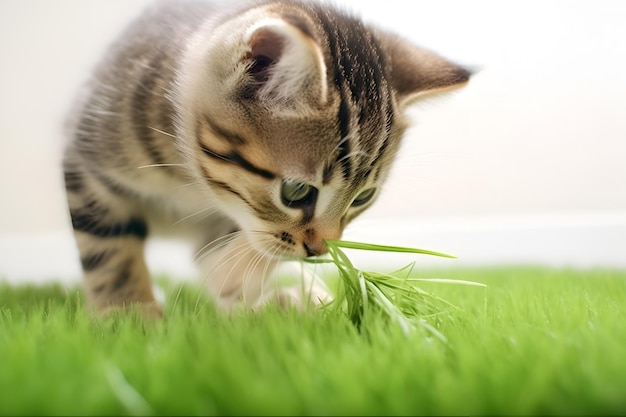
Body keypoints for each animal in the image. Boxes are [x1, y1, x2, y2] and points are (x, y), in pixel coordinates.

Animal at [63, 0, 470, 316]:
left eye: (363, 197)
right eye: (296, 192)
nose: (318, 250)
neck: (190, 184)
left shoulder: (230, 217)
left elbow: (236, 245)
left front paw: (244, 281)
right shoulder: (88, 166)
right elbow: (109, 251)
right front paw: (129, 315)